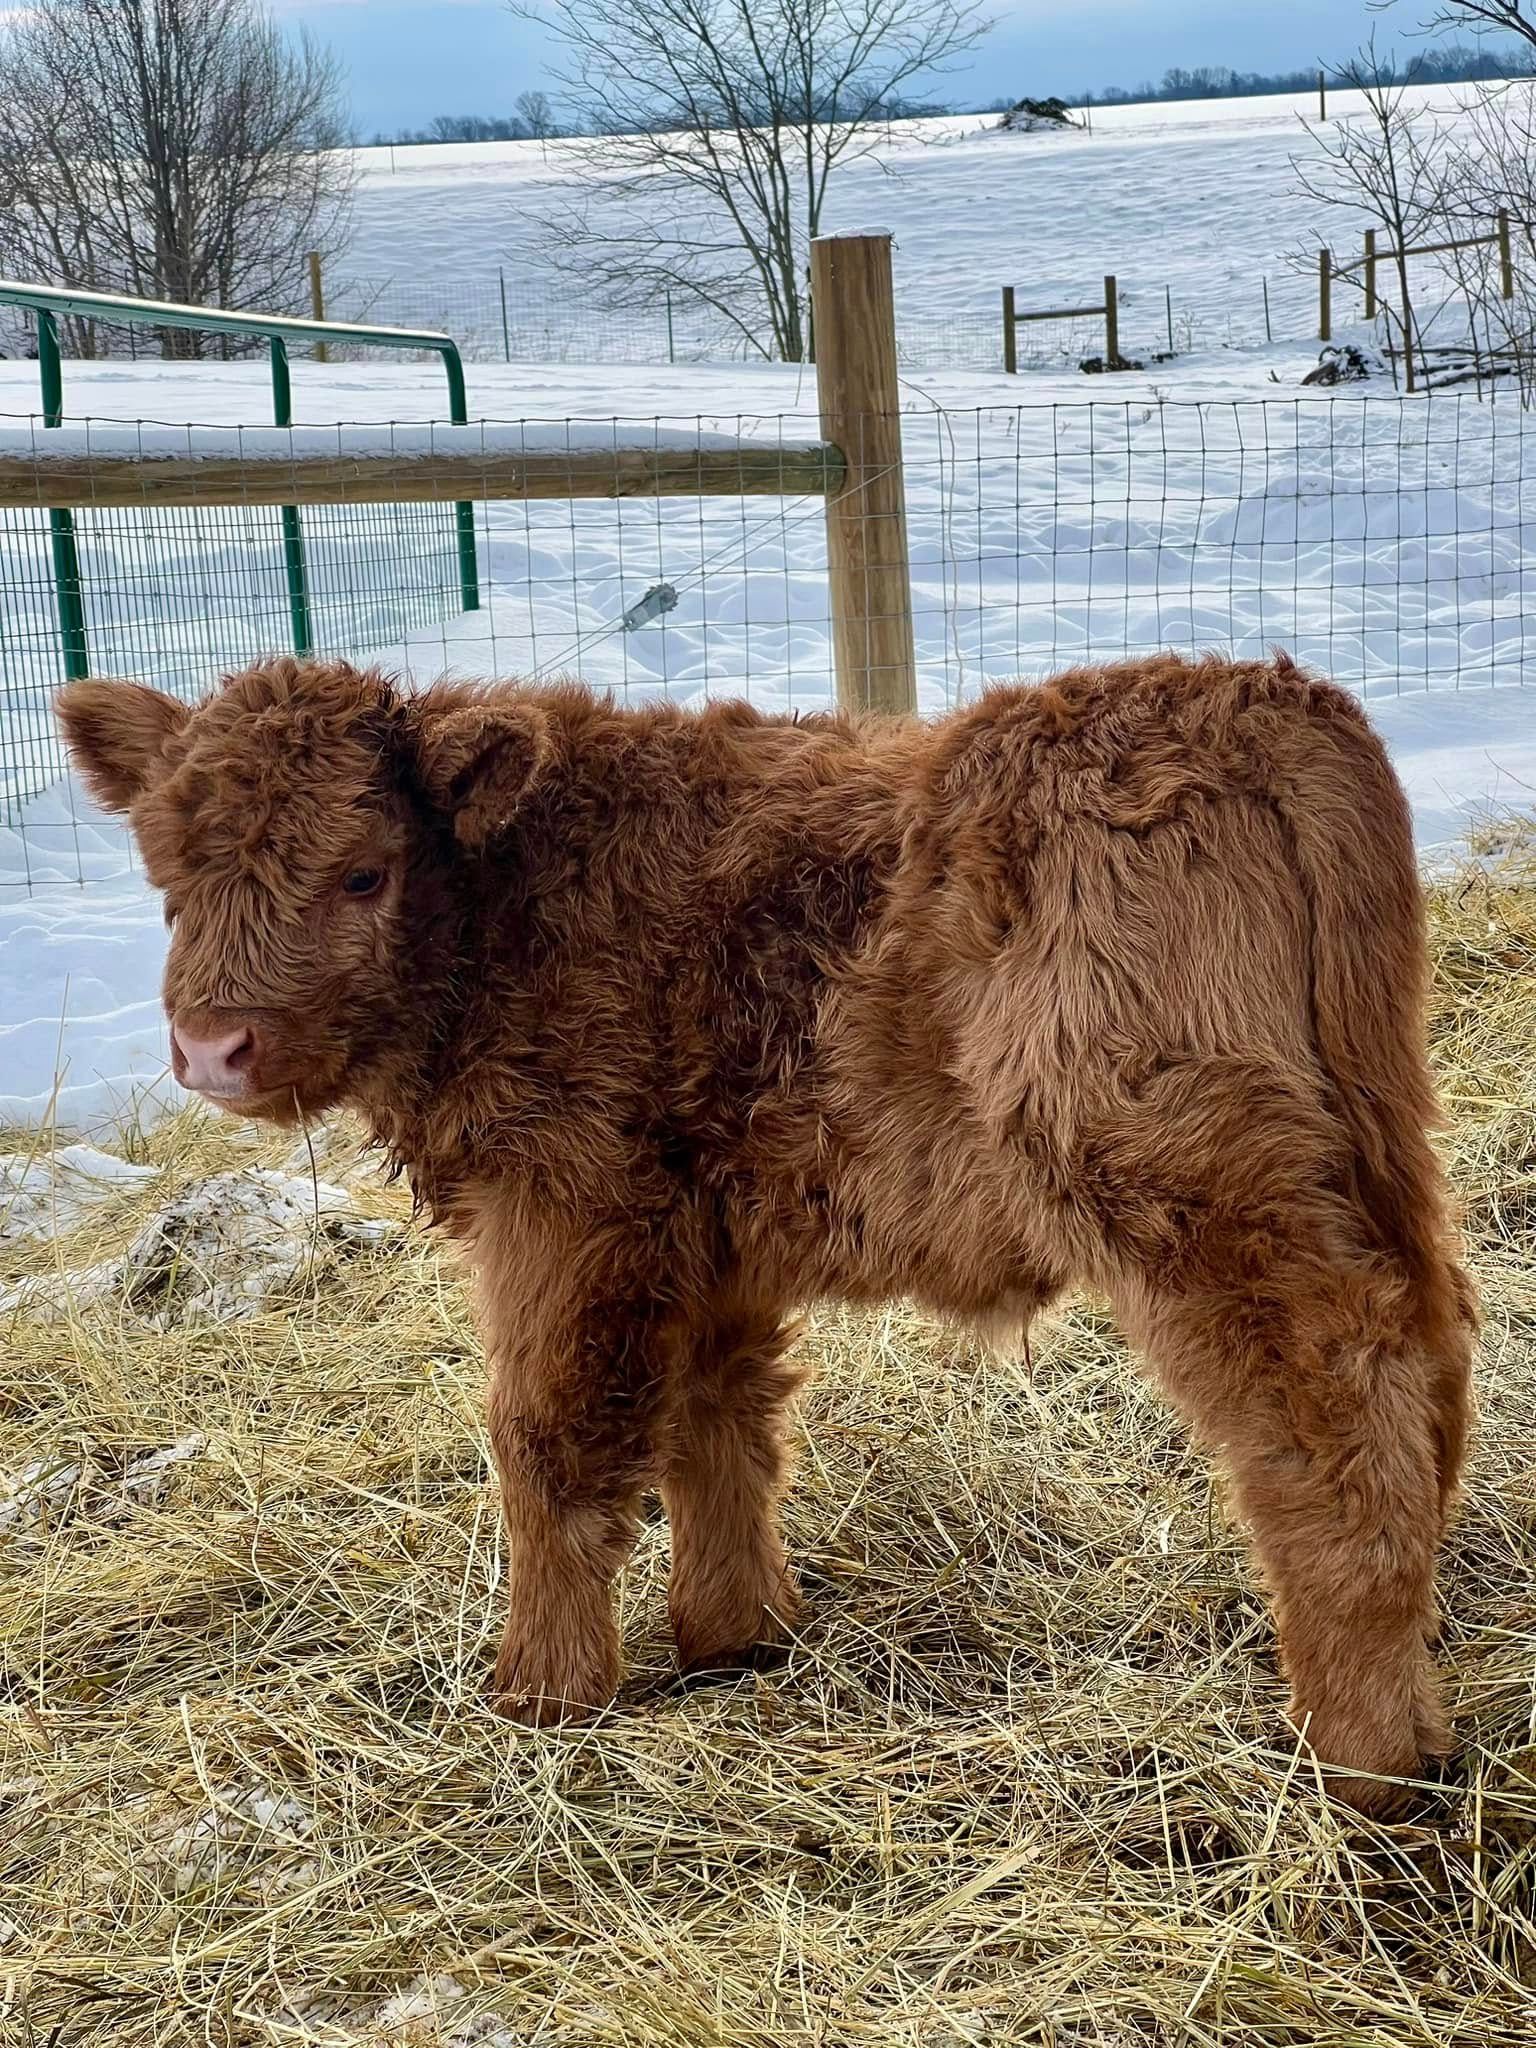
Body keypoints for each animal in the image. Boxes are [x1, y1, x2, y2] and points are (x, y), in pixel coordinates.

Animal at [57, 651, 1475, 1813]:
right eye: (168, 880)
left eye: (363, 867)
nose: (210, 1046)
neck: (523, 899)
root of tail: (1252, 696)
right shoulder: (708, 1241)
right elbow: (716, 1425)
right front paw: (735, 1639)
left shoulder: (570, 1212)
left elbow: (547, 1438)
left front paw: (543, 1691)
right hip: (1375, 1150)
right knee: (1433, 1366)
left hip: (1189, 1185)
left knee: (1332, 1420)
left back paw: (1360, 1760)